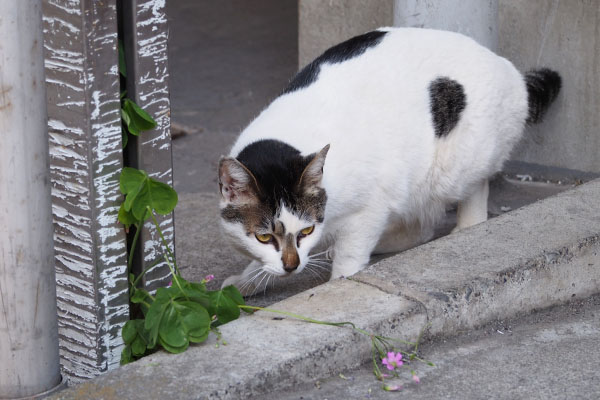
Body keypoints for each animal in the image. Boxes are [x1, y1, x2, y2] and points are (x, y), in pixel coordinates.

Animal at [217, 27, 564, 294]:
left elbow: (351, 254)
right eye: (264, 236)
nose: (292, 265)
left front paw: (339, 282)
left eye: (305, 231)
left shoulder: (369, 207)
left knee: (461, 205)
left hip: (454, 168)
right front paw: (248, 281)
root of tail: (510, 71)